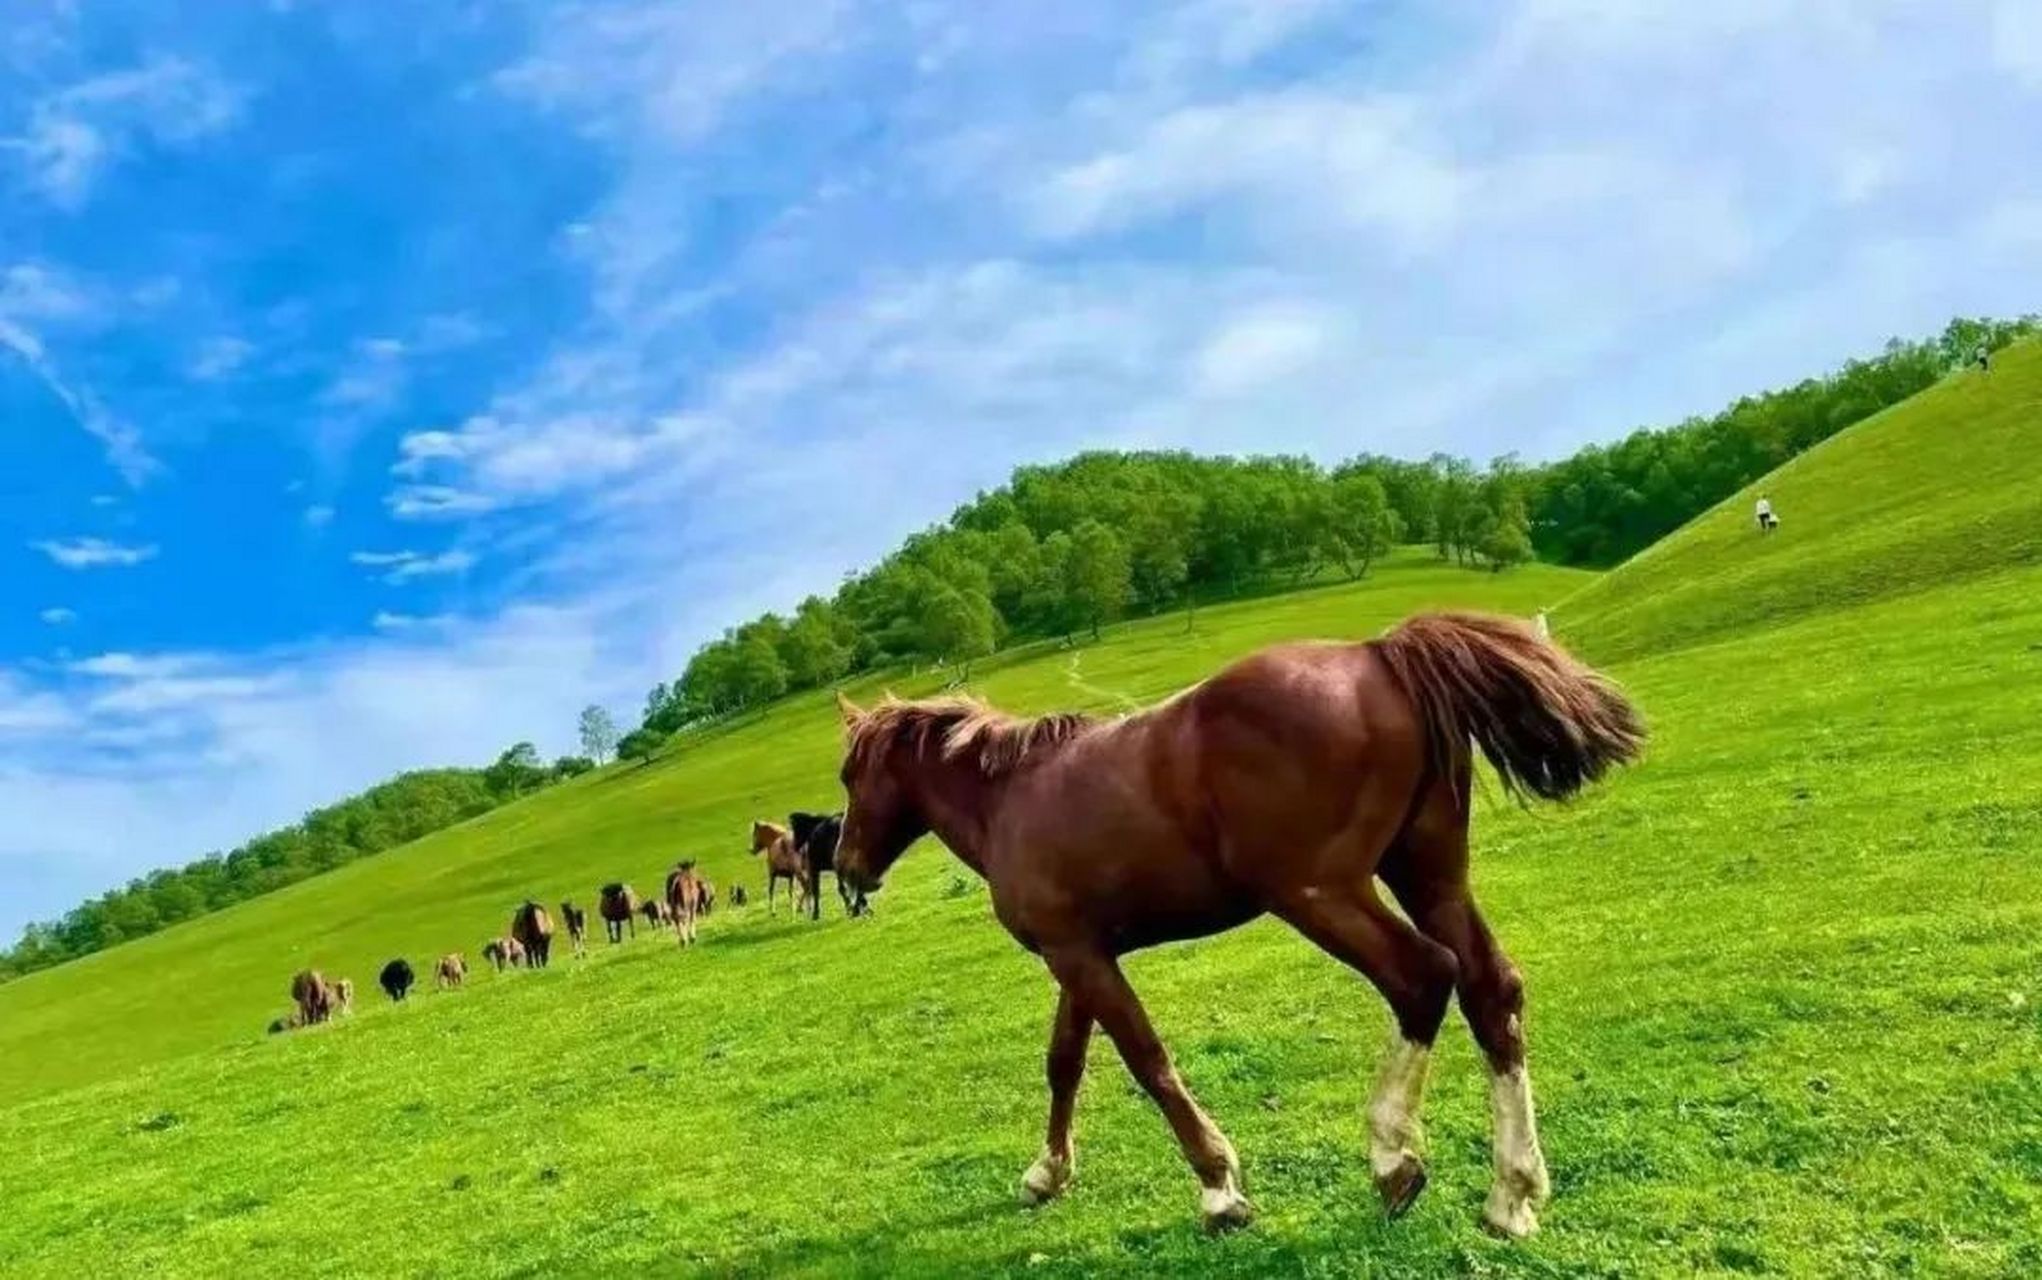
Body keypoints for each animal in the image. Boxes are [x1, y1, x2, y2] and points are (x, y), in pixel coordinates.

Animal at [829, 616, 1641, 1233]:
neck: (1011, 799)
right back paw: (1512, 1195)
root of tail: (1378, 654)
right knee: (1489, 990)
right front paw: (1047, 1173)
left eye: (847, 776)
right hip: (1428, 873)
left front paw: (1219, 1188)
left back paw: (1393, 1161)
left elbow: (1148, 1061)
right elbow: (1065, 1063)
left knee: (1421, 980)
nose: (846, 867)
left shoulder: (1079, 957)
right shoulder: (1079, 954)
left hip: (1317, 893)